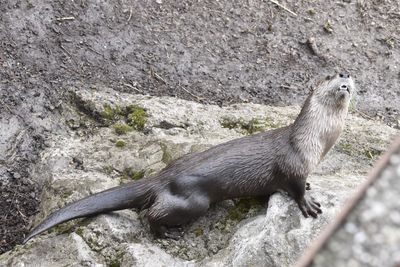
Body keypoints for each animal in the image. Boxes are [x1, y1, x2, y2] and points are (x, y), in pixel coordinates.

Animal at [22, 73, 354, 245]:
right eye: (329, 73)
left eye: (345, 72)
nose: (344, 73)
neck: (317, 140)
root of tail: (161, 177)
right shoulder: (294, 162)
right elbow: (294, 187)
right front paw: (307, 203)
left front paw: (310, 187)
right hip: (194, 201)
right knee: (150, 213)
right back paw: (165, 234)